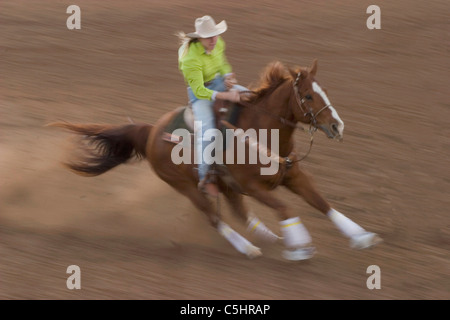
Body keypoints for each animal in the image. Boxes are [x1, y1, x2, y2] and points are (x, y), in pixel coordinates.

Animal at [49, 59, 382, 260]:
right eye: (309, 96)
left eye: (324, 90)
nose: (338, 127)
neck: (262, 132)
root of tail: (151, 130)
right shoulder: (254, 187)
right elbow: (285, 208)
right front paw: (299, 247)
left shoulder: (294, 176)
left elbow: (323, 204)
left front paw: (361, 237)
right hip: (187, 186)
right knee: (214, 217)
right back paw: (248, 247)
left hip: (223, 185)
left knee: (238, 213)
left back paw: (269, 238)